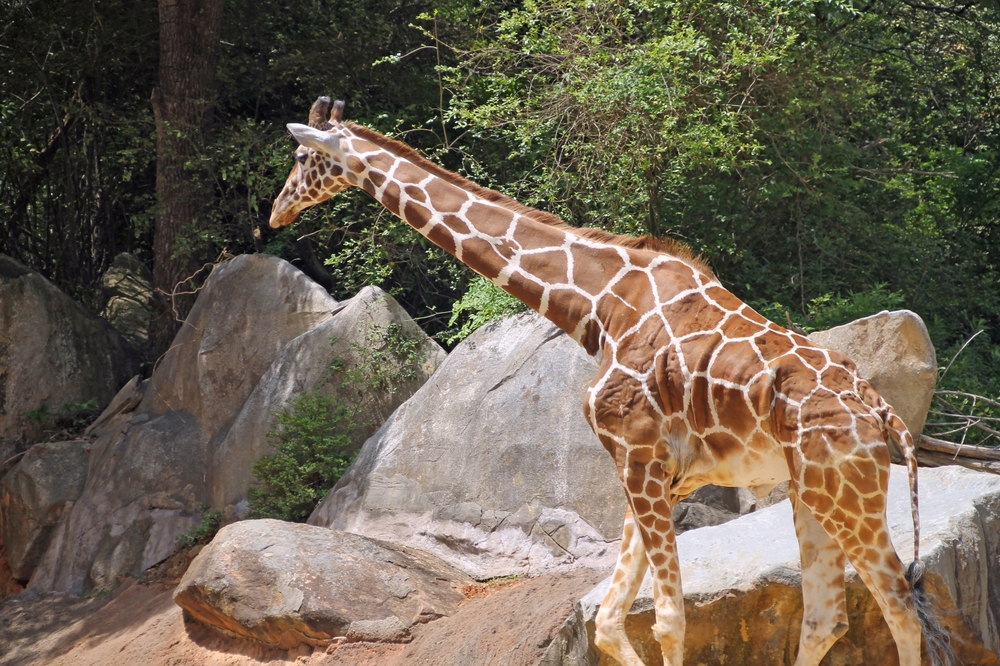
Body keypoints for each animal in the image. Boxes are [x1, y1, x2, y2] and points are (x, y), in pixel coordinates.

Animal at [270, 97, 948, 664]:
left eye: (302, 157)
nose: (276, 210)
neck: (599, 306)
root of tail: (882, 411)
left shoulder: (638, 454)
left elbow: (670, 619)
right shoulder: (654, 471)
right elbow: (609, 622)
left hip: (845, 488)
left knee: (899, 606)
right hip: (811, 489)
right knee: (826, 616)